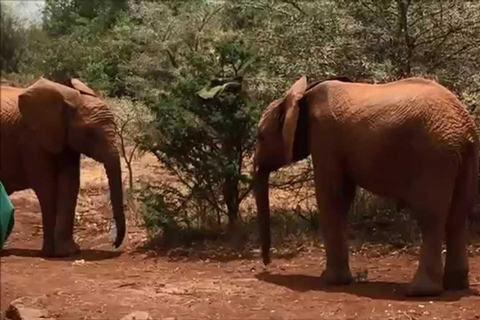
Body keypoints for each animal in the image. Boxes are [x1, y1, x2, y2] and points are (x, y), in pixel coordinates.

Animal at [0, 77, 125, 258]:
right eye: (90, 134)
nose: (114, 243)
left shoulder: (65, 137)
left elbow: (70, 183)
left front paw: (67, 252)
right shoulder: (32, 139)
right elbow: (47, 186)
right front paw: (50, 253)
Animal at [253, 76, 478, 296]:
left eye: (260, 136)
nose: (267, 264)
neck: (303, 96)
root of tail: (466, 128)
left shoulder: (325, 139)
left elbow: (332, 197)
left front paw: (330, 281)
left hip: (433, 158)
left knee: (431, 217)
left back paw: (419, 292)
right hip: (462, 157)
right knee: (457, 216)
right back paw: (455, 285)